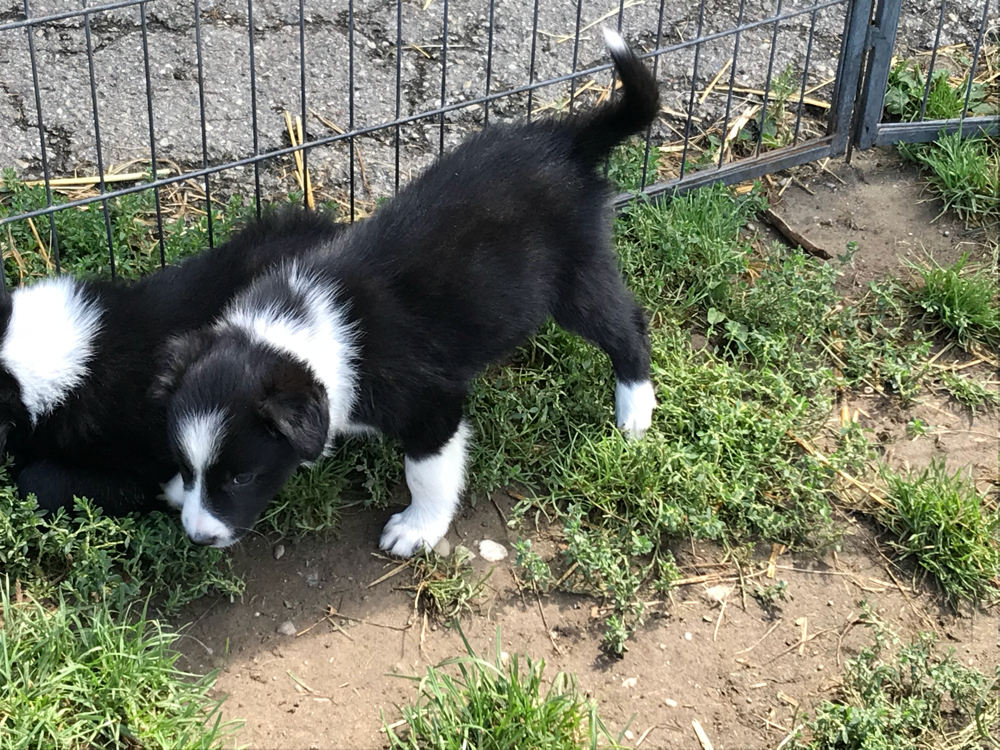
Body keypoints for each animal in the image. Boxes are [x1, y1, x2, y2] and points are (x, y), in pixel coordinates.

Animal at [153, 28, 660, 556]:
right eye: (188, 466)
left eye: (241, 478)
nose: (198, 536)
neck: (302, 333)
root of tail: (567, 141)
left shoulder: (432, 406)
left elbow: (426, 473)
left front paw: (417, 528)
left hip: (577, 278)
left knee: (628, 328)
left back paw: (634, 411)